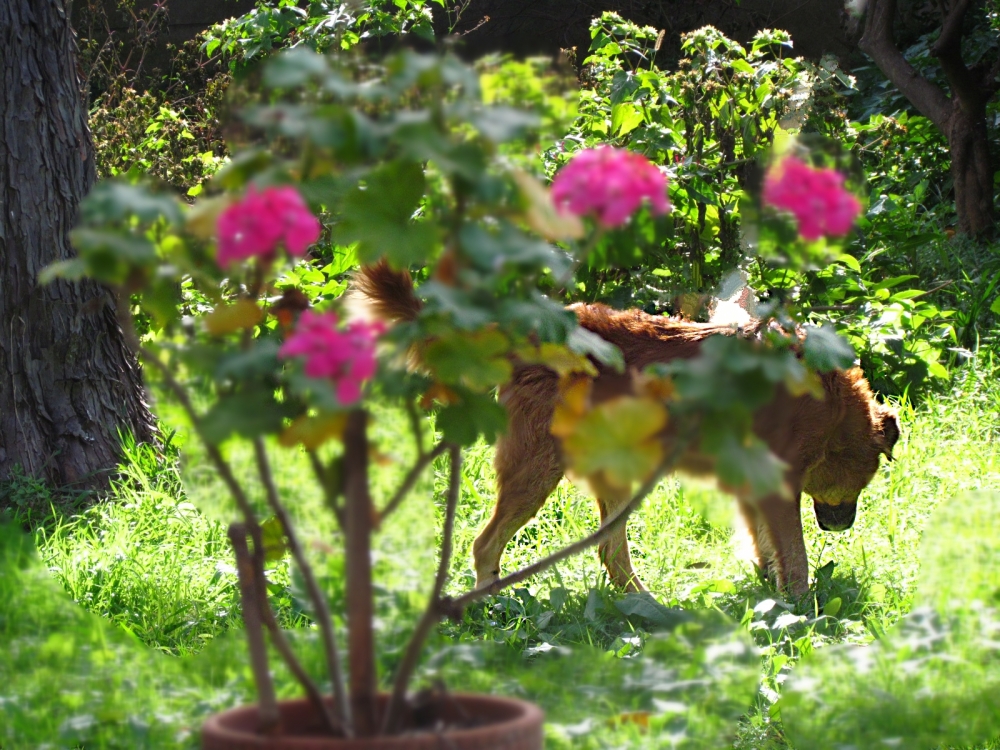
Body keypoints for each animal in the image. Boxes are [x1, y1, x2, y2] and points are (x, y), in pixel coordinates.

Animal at [358, 264, 900, 600]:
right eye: (867, 479)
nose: (842, 525)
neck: (833, 405)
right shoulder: (778, 487)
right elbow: (796, 555)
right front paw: (803, 607)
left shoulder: (752, 488)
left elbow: (763, 545)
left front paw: (769, 587)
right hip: (537, 471)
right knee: (486, 544)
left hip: (613, 474)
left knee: (609, 553)